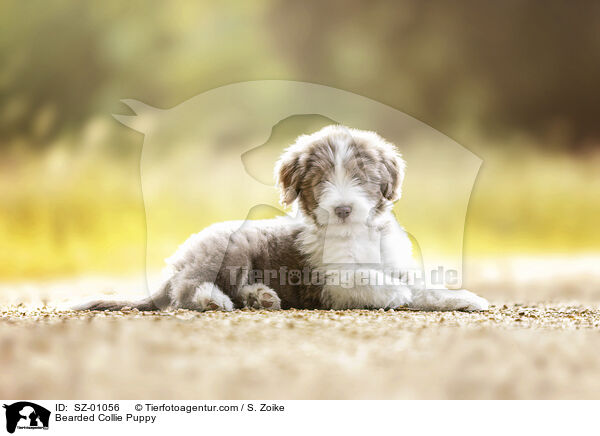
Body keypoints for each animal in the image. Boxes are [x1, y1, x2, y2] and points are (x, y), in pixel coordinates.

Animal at [75, 124, 488, 312]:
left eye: (362, 178)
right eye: (320, 181)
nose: (342, 208)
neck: (355, 233)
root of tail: (175, 266)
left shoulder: (396, 264)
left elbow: (423, 287)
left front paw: (465, 299)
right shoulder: (331, 282)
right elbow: (370, 281)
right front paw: (393, 292)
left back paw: (260, 297)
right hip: (227, 247)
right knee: (186, 293)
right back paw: (215, 300)